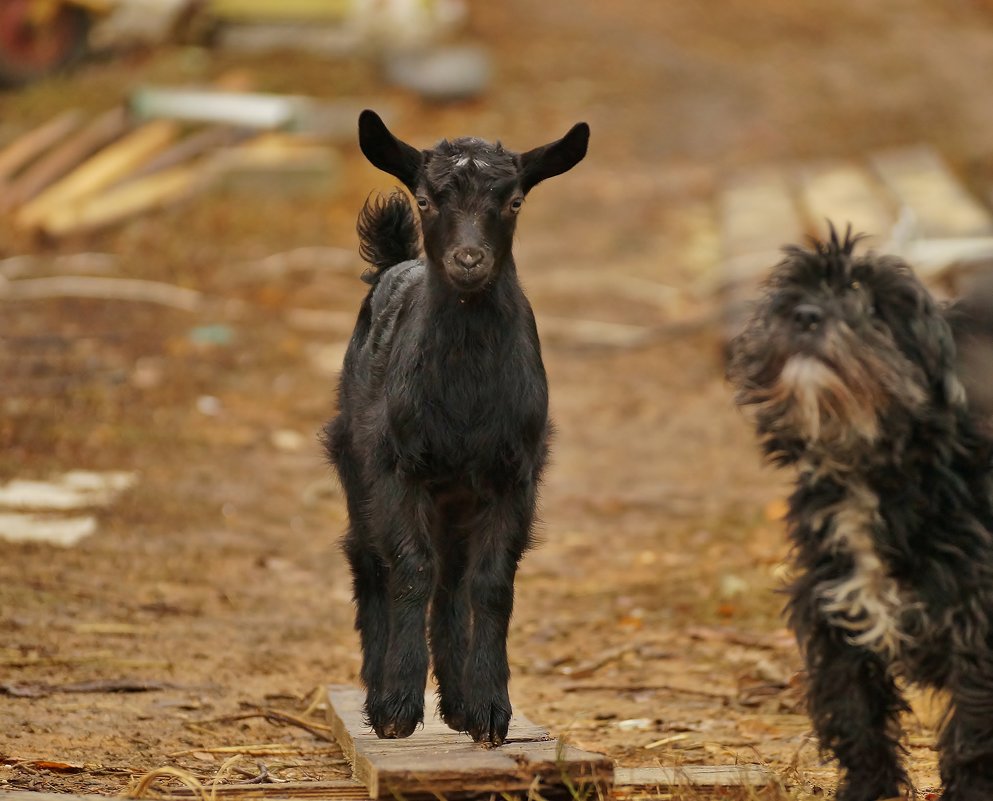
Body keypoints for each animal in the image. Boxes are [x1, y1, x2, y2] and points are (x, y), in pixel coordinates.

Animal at [326, 111, 588, 744]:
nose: (469, 260)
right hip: (356, 461)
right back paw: (378, 688)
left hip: (455, 497)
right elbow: (408, 570)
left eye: (514, 201)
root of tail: (396, 263)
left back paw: (459, 701)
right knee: (370, 560)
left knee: (452, 579)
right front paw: (396, 706)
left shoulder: (513, 474)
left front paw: (490, 709)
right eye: (424, 199)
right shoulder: (399, 467)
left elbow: (489, 584)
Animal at [724, 227, 992, 800]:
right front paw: (866, 789)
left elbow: (973, 732)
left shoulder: (979, 631)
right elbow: (856, 719)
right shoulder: (834, 615)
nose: (804, 315)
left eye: (872, 306)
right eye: (796, 291)